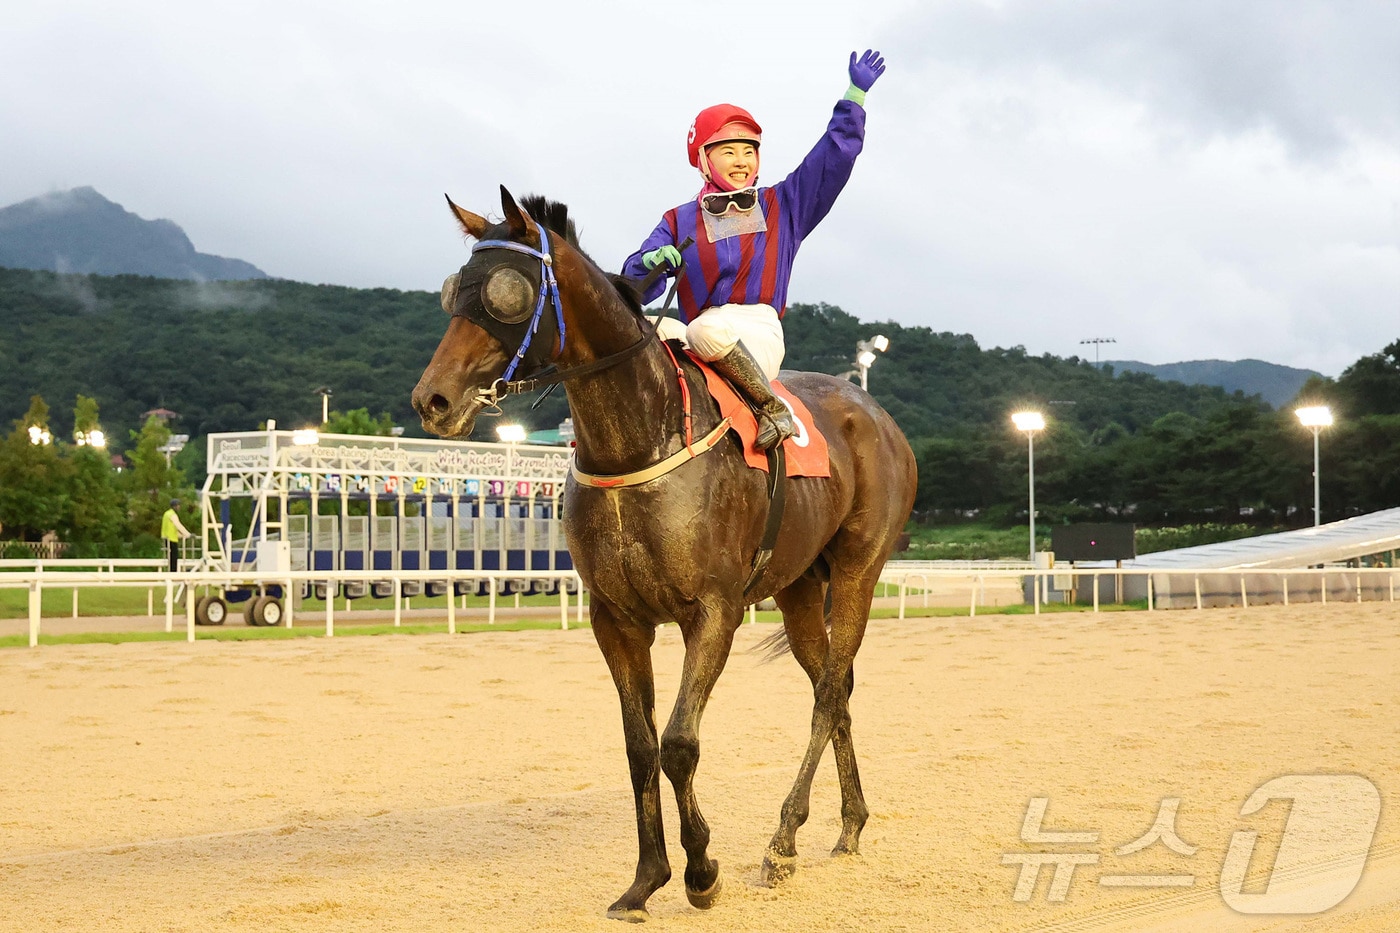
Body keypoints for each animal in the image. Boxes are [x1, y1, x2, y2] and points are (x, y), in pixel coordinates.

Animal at [414, 184, 918, 918]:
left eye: (508, 293)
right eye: (455, 290)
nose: (433, 399)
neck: (637, 441)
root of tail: (873, 412)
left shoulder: (712, 611)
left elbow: (679, 743)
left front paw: (701, 869)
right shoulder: (616, 619)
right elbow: (639, 746)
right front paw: (646, 877)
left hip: (858, 569)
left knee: (828, 692)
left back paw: (782, 840)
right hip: (799, 586)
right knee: (837, 684)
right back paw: (848, 824)